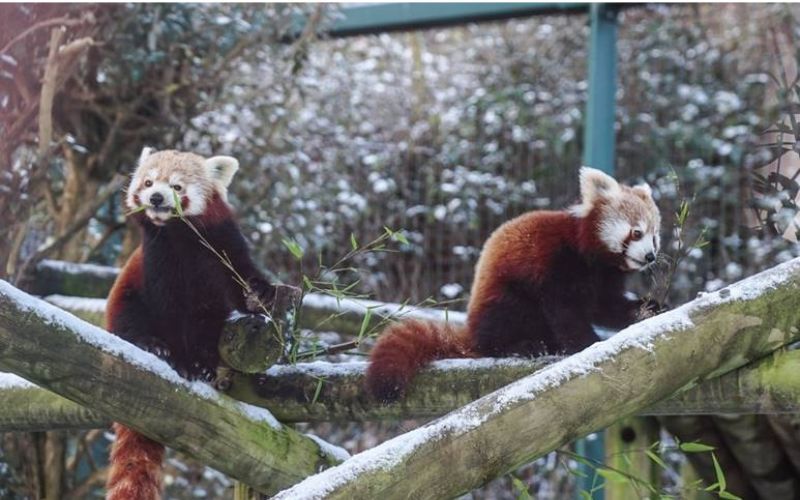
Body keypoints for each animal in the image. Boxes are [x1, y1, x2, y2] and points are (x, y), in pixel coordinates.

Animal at [103, 147, 296, 500]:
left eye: (176, 186)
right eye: (149, 182)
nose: (155, 197)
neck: (181, 238)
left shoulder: (222, 247)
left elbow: (237, 282)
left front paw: (260, 291)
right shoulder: (158, 263)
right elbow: (170, 314)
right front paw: (182, 361)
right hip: (124, 300)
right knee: (131, 321)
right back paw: (153, 346)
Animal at [368, 168, 664, 402]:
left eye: (655, 236)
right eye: (636, 232)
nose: (650, 256)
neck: (593, 257)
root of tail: (473, 330)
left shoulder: (606, 278)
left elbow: (606, 306)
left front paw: (646, 309)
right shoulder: (558, 262)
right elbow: (566, 311)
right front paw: (588, 344)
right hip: (505, 298)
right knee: (504, 323)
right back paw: (523, 345)